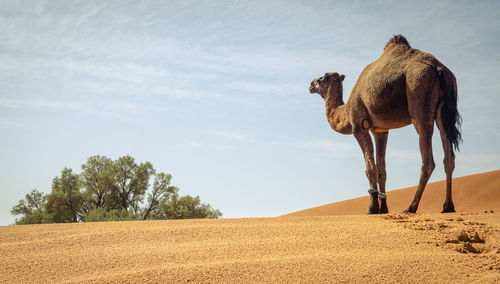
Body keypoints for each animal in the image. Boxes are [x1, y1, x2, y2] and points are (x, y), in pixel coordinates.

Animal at [308, 35, 460, 213]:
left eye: (321, 78)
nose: (310, 85)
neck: (344, 113)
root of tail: (439, 69)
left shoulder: (359, 125)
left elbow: (370, 168)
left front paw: (372, 208)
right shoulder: (380, 129)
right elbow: (382, 170)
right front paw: (384, 208)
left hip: (420, 98)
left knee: (428, 160)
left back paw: (411, 207)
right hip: (444, 111)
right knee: (448, 157)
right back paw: (447, 206)